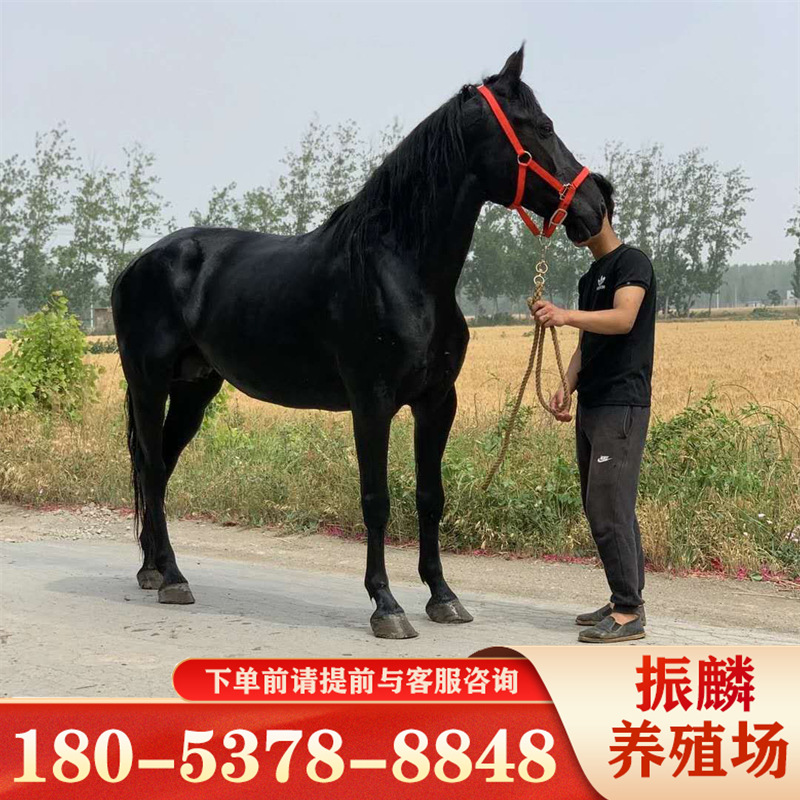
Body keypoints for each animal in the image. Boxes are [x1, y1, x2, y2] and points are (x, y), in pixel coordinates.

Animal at [112, 46, 606, 639]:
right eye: (541, 126)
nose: (596, 206)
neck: (402, 270)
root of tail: (136, 264)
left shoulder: (436, 402)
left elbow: (429, 497)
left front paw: (443, 597)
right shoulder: (371, 403)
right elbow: (377, 500)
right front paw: (386, 605)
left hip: (194, 390)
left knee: (158, 467)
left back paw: (153, 570)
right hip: (149, 384)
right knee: (151, 469)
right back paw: (173, 578)